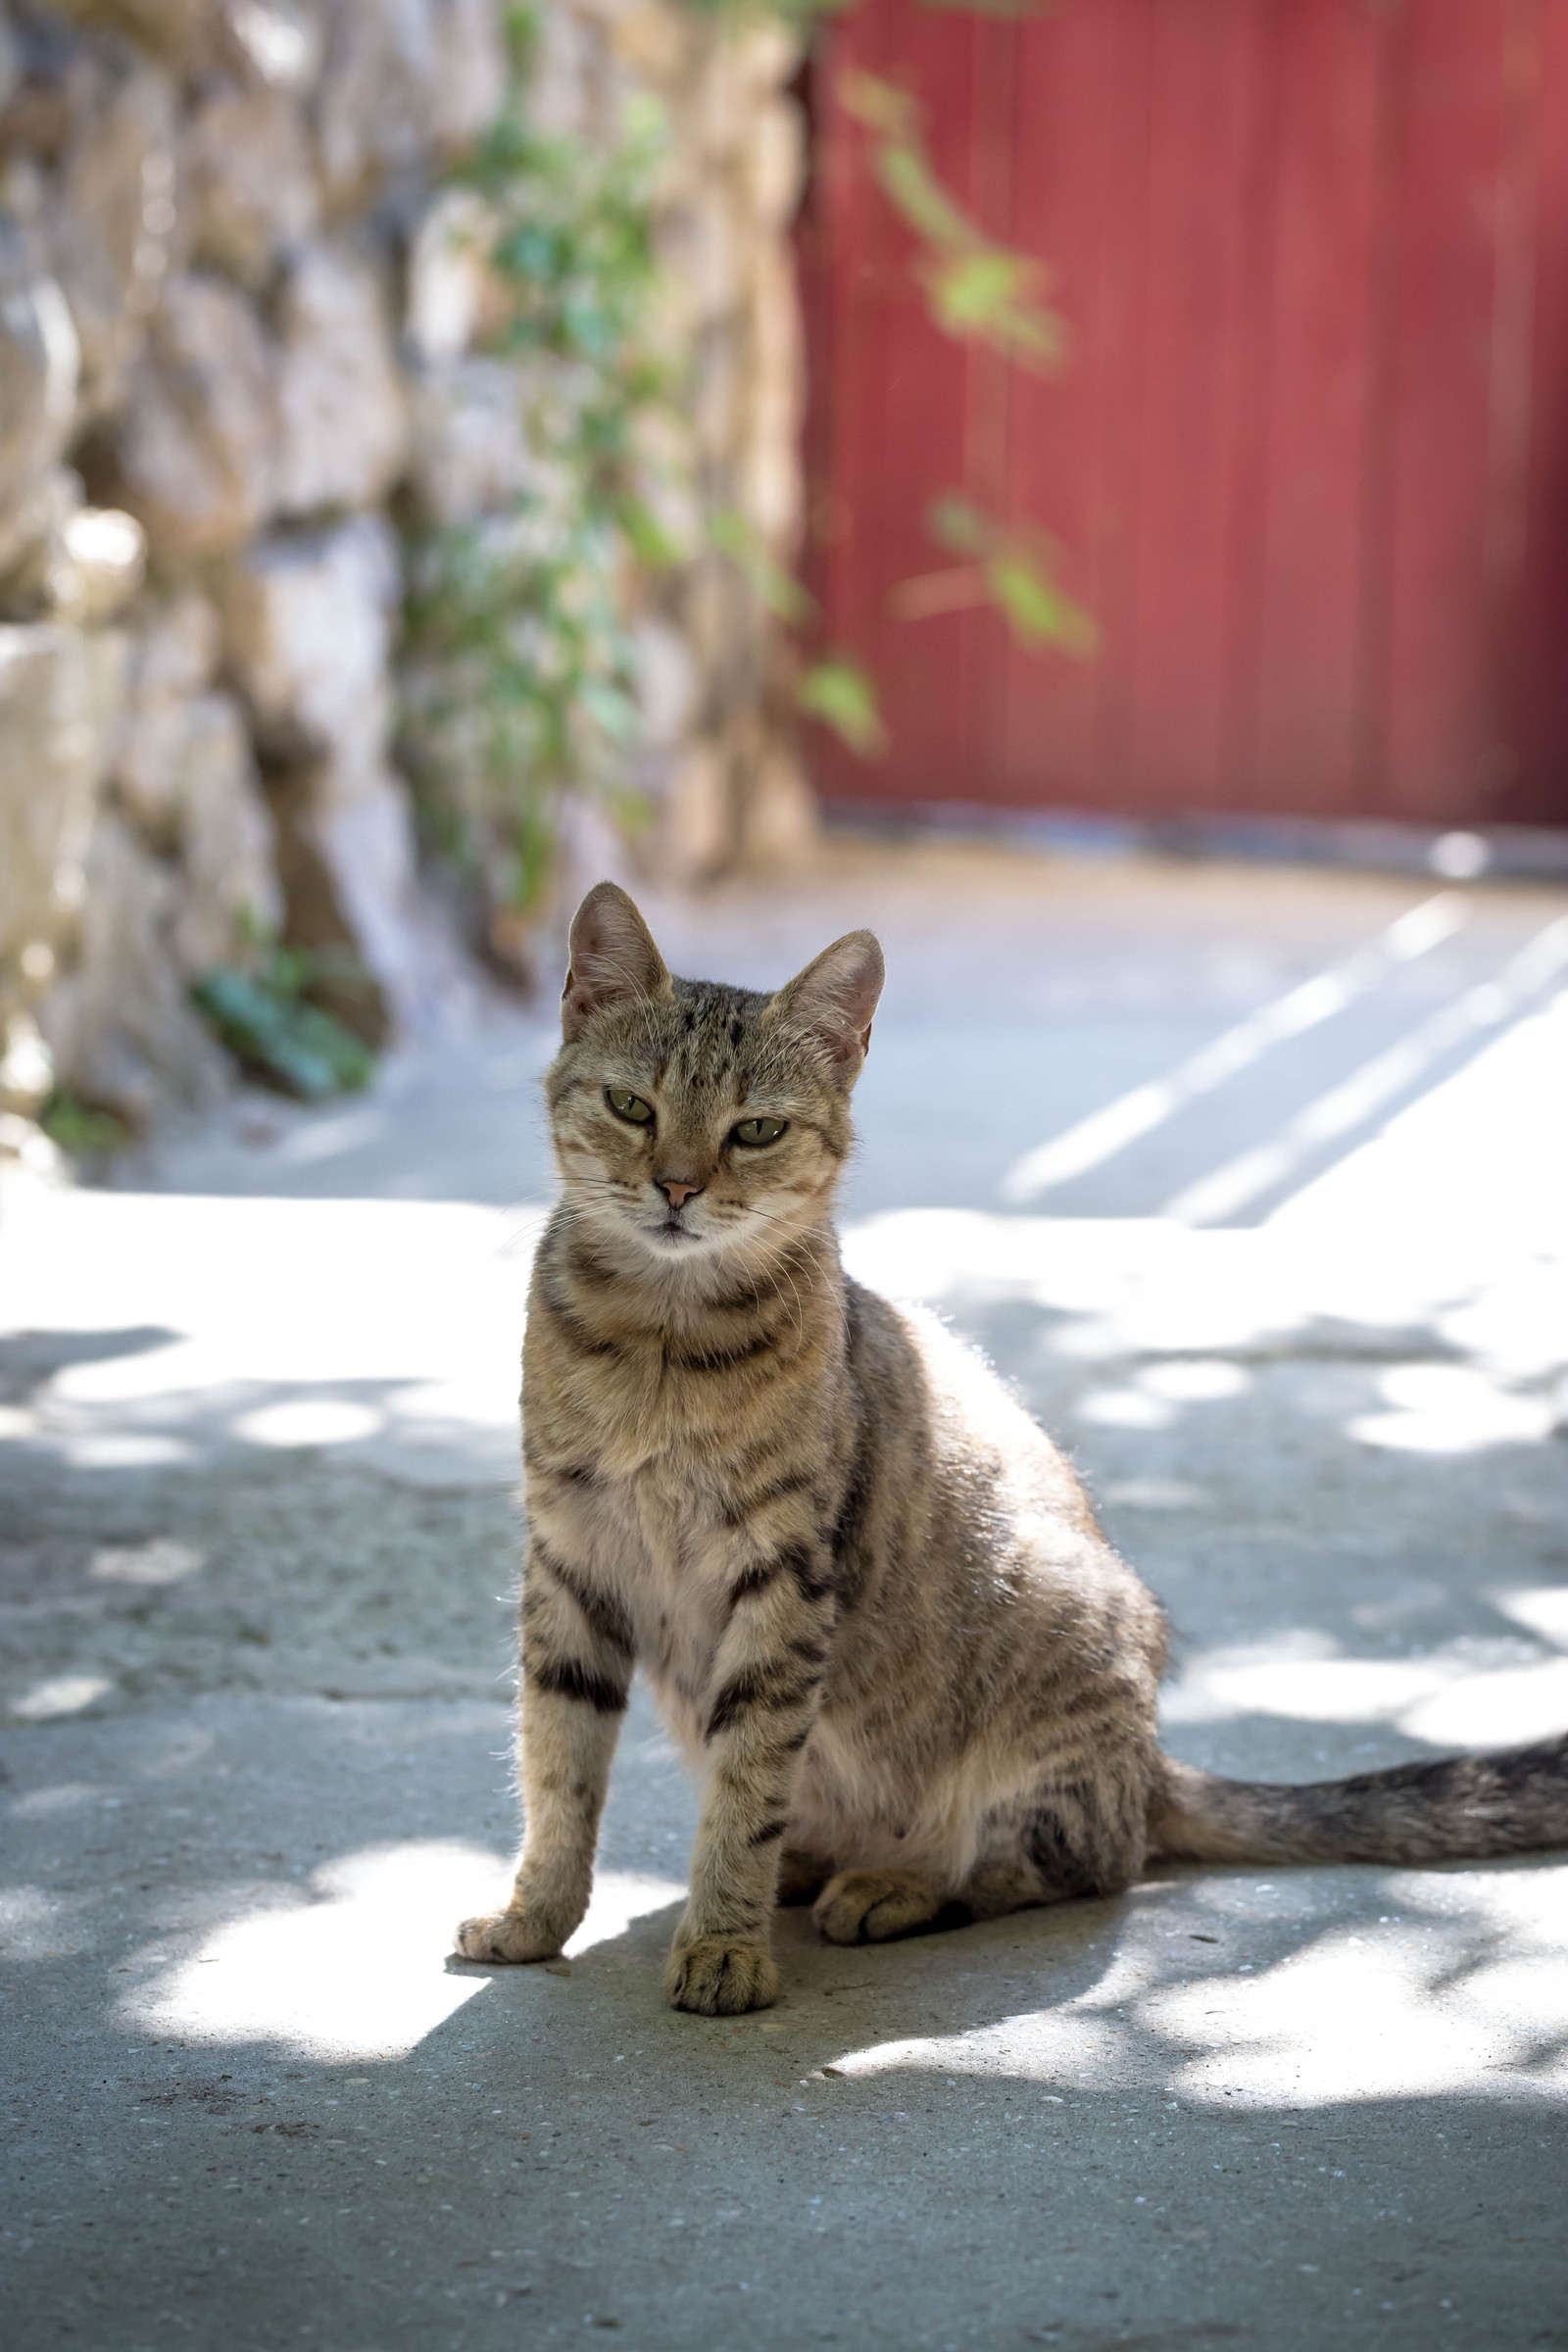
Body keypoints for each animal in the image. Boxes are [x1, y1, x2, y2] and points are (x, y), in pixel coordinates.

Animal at [456, 884, 1568, 2023]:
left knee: (1074, 1860)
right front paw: (539, 1913)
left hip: (1054, 1646)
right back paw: (813, 1863)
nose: (677, 1188)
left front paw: (724, 1941)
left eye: (756, 1131)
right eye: (632, 1108)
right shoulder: (570, 1560)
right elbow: (557, 1764)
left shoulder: (783, 1580)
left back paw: (894, 1883)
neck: (662, 1344)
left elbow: (746, 1780)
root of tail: (1153, 1760)